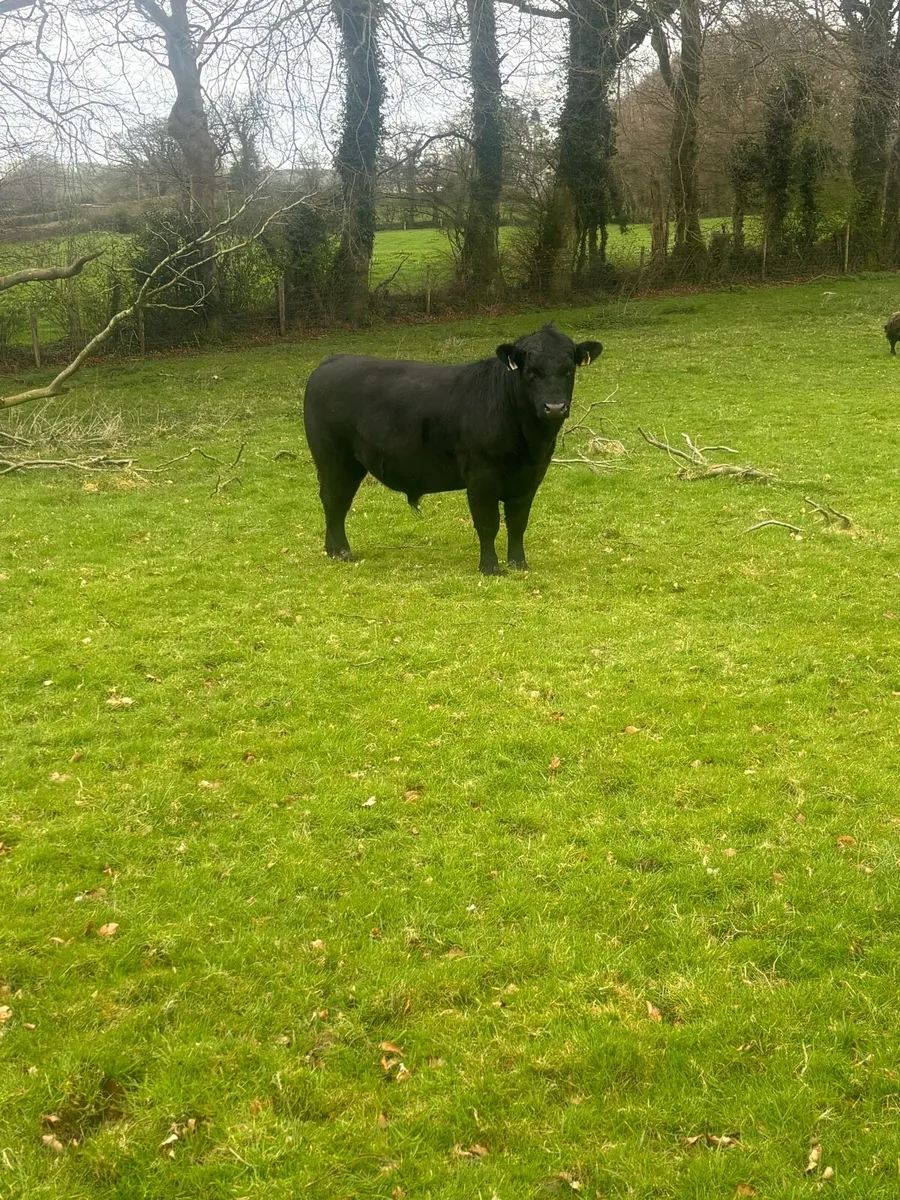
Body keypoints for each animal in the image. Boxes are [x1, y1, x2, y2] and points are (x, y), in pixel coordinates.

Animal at [302, 323, 603, 575]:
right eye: (531, 372)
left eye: (569, 370)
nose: (555, 407)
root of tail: (331, 361)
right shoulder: (481, 475)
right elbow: (488, 522)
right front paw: (490, 567)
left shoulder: (531, 476)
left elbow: (518, 522)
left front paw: (519, 564)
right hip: (335, 458)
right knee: (335, 501)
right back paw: (342, 552)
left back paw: (332, 549)